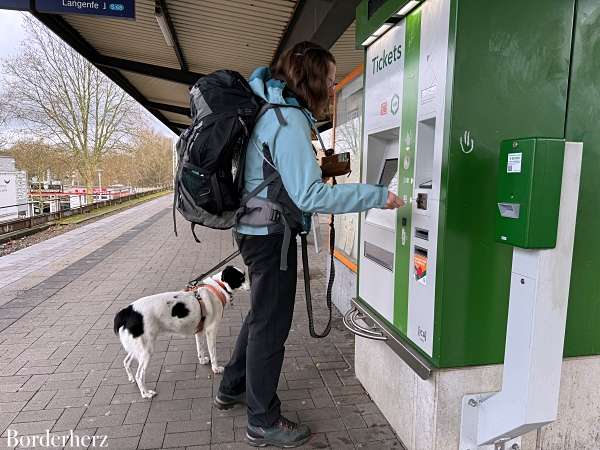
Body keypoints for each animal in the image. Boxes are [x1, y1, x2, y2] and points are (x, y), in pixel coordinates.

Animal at [113, 266, 247, 400]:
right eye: (241, 278)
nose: (250, 283)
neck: (218, 287)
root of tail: (126, 312)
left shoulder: (199, 330)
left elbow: (200, 348)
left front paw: (202, 360)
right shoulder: (211, 330)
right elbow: (213, 353)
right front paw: (216, 368)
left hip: (138, 348)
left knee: (126, 362)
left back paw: (131, 379)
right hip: (146, 350)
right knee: (140, 375)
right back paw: (146, 393)